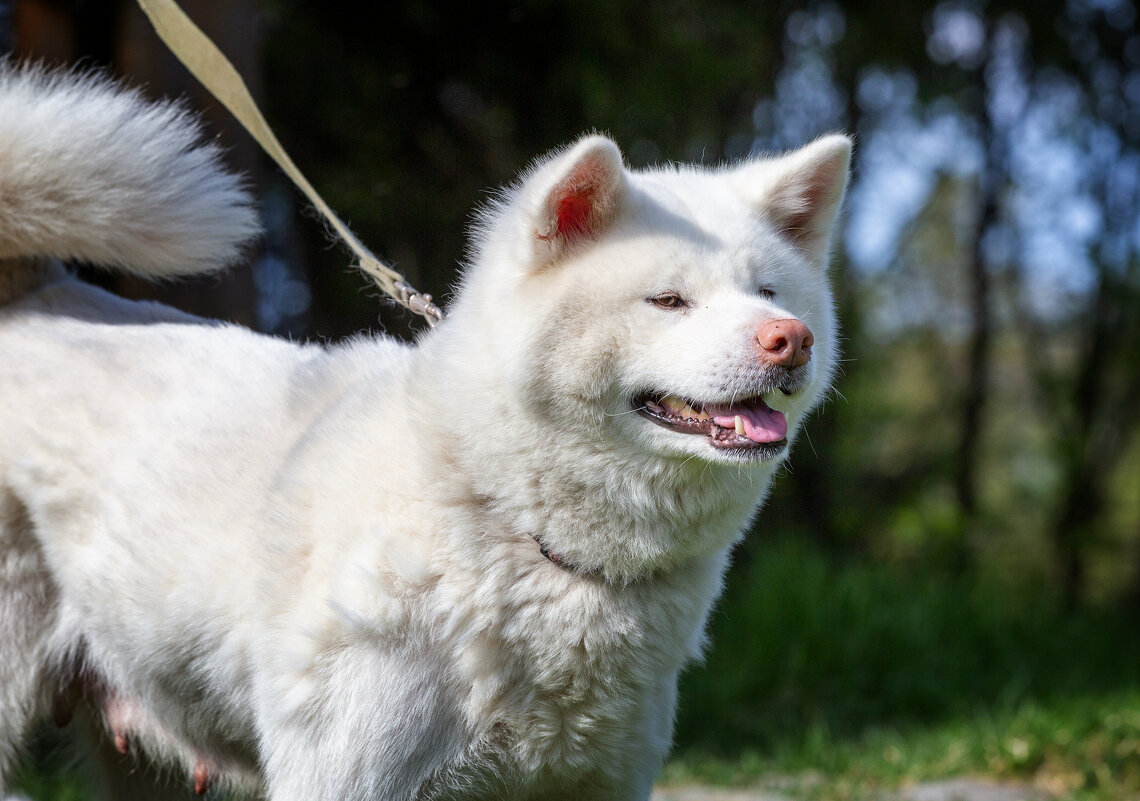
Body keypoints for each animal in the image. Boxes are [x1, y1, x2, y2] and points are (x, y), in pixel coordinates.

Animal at [0, 65, 852, 797]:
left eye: (769, 291)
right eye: (669, 300)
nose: (790, 338)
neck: (502, 517)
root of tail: (35, 292)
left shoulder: (602, 779)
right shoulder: (347, 775)